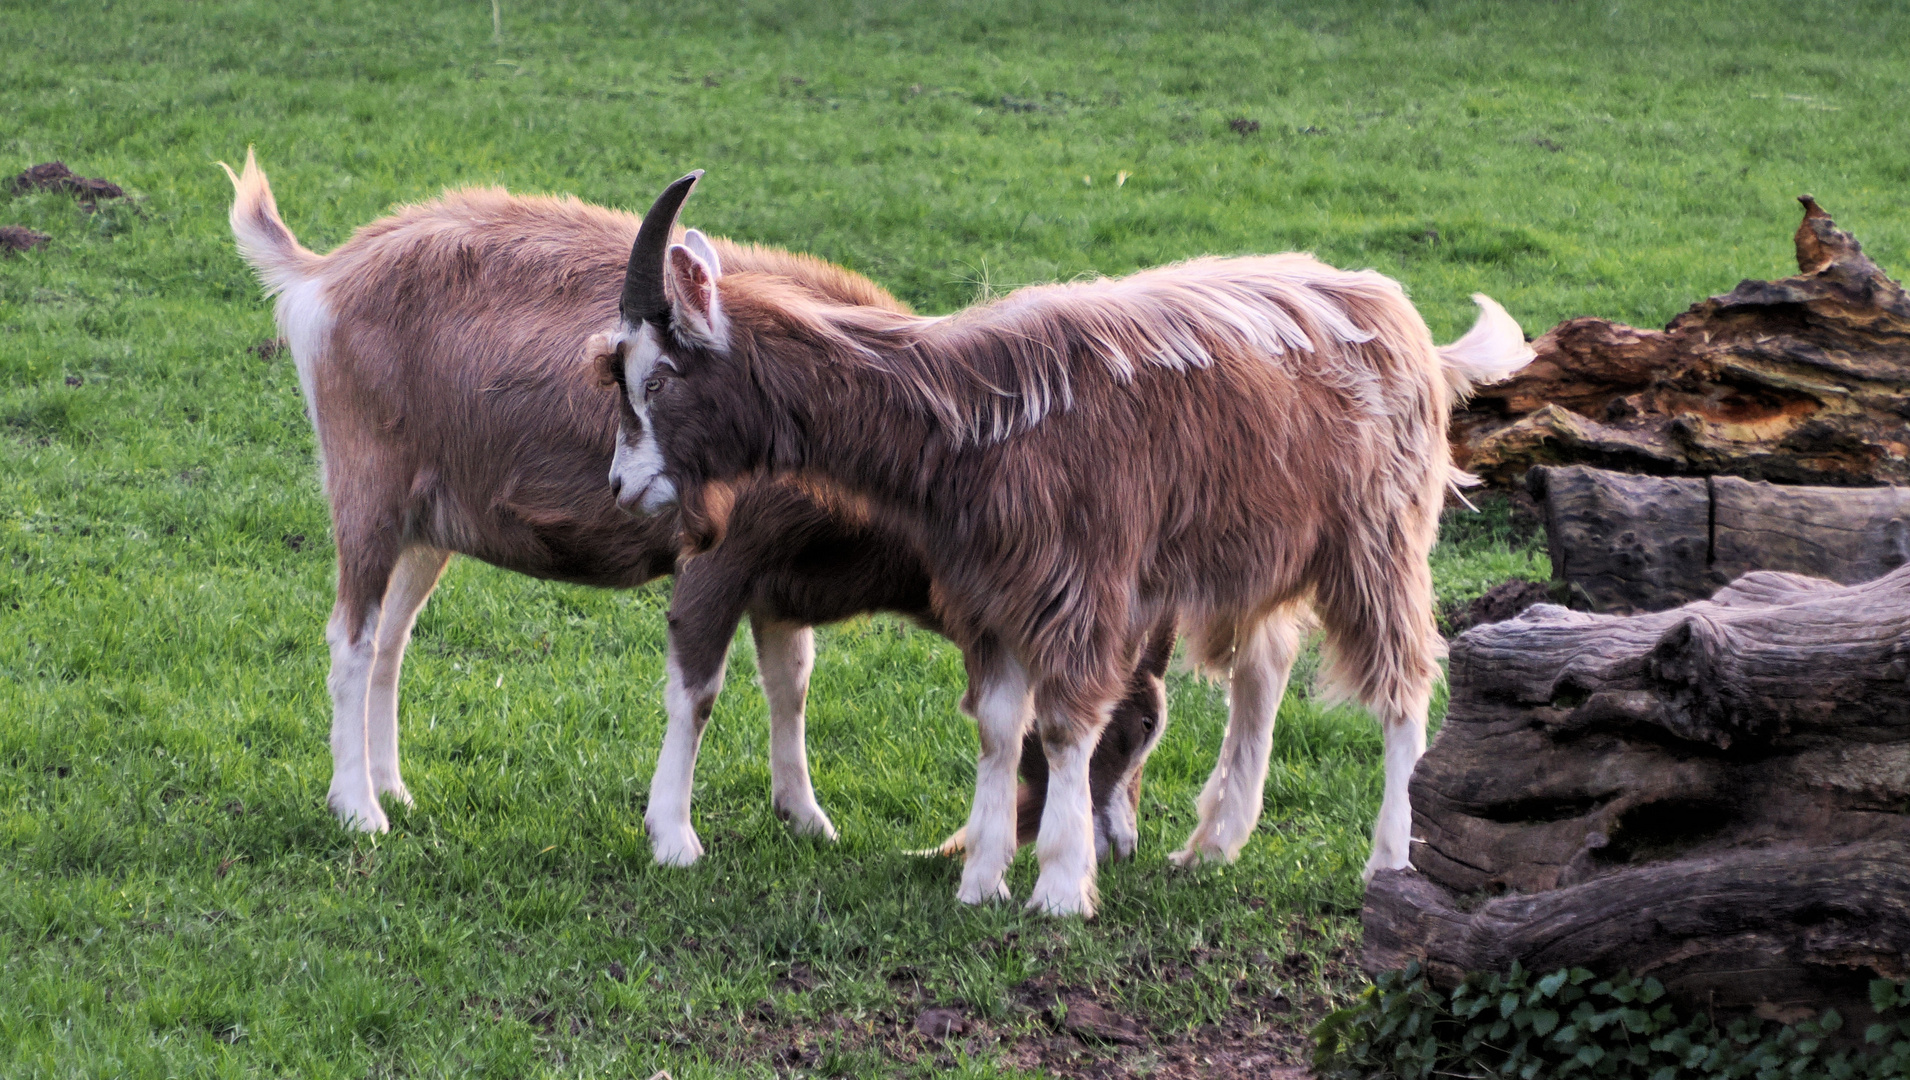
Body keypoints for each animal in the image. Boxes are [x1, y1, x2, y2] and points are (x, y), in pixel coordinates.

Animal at [221, 149, 1161, 860]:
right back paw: (359, 811)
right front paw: (674, 836)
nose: (1119, 845)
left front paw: (807, 817)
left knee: (392, 640)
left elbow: (792, 683)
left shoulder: (782, 582)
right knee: (349, 639)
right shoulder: (720, 561)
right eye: (1117, 728)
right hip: (369, 495)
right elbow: (700, 691)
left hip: (430, 526)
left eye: (1143, 726)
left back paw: (396, 789)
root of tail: (327, 275)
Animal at [603, 172, 1528, 913]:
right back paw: (1211, 846)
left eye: (658, 378)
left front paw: (1056, 886)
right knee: (1263, 669)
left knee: (1404, 680)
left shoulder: (1081, 584)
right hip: (1259, 546)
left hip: (1377, 536)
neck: (965, 419)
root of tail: (1407, 325)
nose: (620, 486)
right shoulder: (990, 595)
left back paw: (1388, 860)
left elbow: (1063, 726)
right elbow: (998, 727)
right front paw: (981, 882)